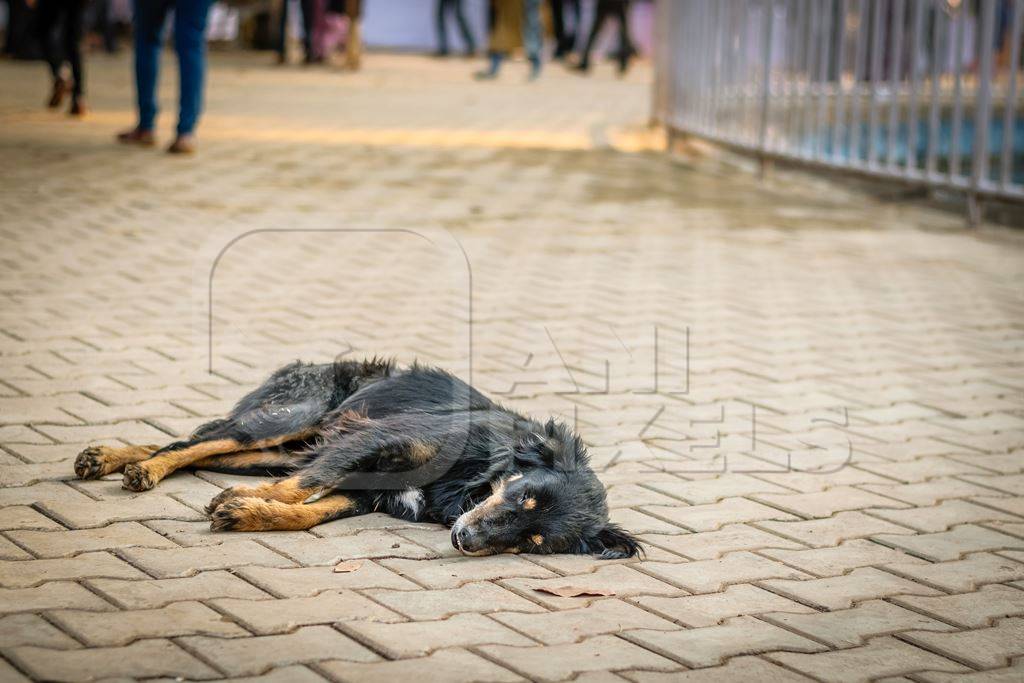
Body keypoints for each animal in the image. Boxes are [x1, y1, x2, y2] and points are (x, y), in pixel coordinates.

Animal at [74, 358, 638, 561]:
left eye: (534, 542)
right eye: (522, 497)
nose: (465, 540)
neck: (474, 479)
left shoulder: (365, 491)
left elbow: (306, 512)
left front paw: (249, 512)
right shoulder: (372, 440)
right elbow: (303, 489)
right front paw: (246, 502)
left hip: (275, 450)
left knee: (196, 445)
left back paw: (112, 458)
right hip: (291, 418)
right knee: (197, 441)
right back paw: (134, 467)